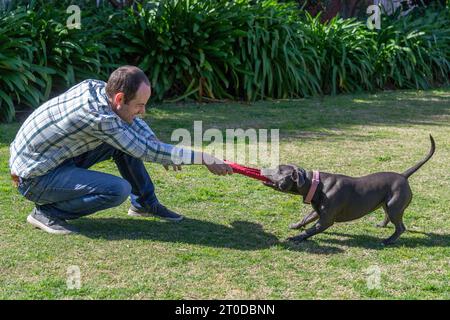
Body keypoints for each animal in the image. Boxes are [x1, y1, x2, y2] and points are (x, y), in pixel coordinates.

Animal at [264, 136, 436, 245]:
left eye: (279, 169)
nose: (263, 168)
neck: (315, 184)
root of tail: (403, 176)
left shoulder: (326, 220)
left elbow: (311, 230)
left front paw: (296, 238)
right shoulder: (317, 211)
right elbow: (306, 218)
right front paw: (295, 225)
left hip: (395, 206)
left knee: (400, 227)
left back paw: (388, 241)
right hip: (387, 204)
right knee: (389, 216)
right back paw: (382, 225)